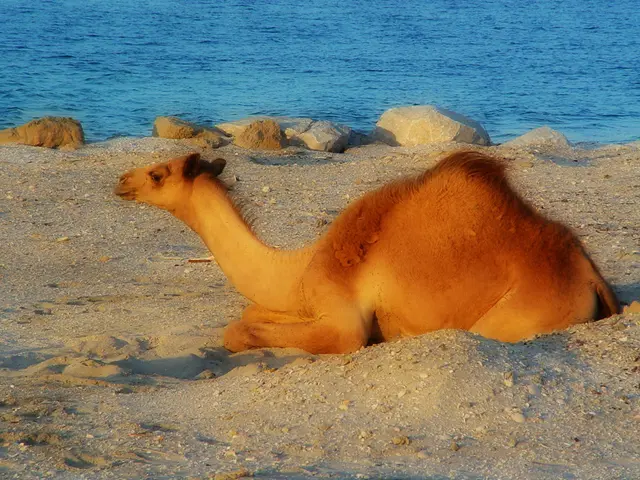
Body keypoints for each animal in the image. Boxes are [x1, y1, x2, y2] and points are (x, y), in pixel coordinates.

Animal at [114, 150, 620, 354]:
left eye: (158, 174)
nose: (121, 180)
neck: (300, 267)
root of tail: (590, 273)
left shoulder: (343, 320)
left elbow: (239, 330)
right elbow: (249, 313)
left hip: (516, 317)